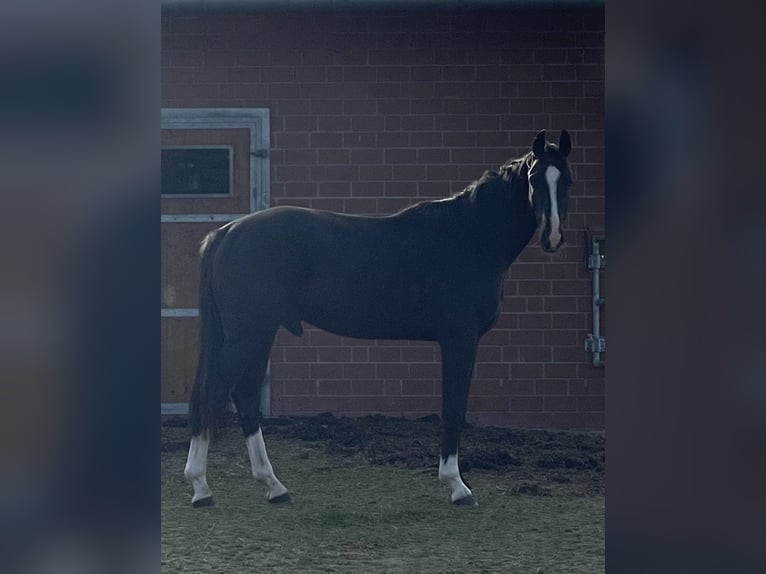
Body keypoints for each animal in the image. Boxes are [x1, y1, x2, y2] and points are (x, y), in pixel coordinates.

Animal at [183, 128, 572, 506]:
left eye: (567, 179)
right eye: (535, 178)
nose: (552, 236)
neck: (469, 236)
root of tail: (226, 232)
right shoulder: (460, 338)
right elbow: (453, 408)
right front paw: (457, 486)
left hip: (260, 332)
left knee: (244, 394)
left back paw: (274, 486)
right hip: (249, 332)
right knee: (214, 390)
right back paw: (201, 487)